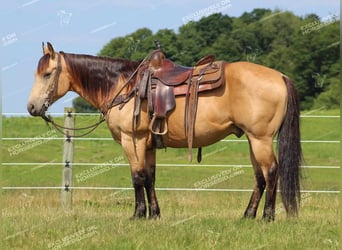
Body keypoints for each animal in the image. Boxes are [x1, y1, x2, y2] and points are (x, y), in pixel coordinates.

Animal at [28, 42, 302, 221]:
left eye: (48, 74)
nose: (31, 107)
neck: (122, 86)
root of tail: (280, 76)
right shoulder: (149, 145)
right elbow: (150, 178)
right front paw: (154, 215)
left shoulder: (133, 140)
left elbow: (137, 177)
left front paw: (138, 215)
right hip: (253, 140)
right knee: (260, 177)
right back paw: (247, 215)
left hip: (260, 139)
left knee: (271, 172)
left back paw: (267, 216)